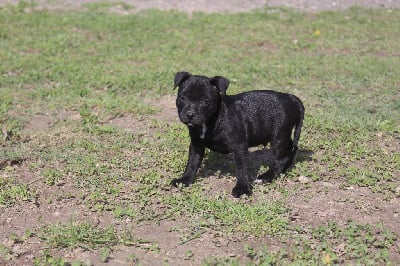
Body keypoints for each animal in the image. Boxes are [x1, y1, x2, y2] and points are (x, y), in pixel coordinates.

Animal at [170, 71, 304, 197]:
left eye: (205, 101)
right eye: (182, 98)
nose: (190, 114)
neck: (214, 118)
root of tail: (291, 97)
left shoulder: (239, 147)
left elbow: (241, 168)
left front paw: (242, 188)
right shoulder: (196, 144)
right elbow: (192, 162)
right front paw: (185, 179)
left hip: (278, 137)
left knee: (280, 159)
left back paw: (267, 177)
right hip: (283, 136)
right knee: (291, 148)